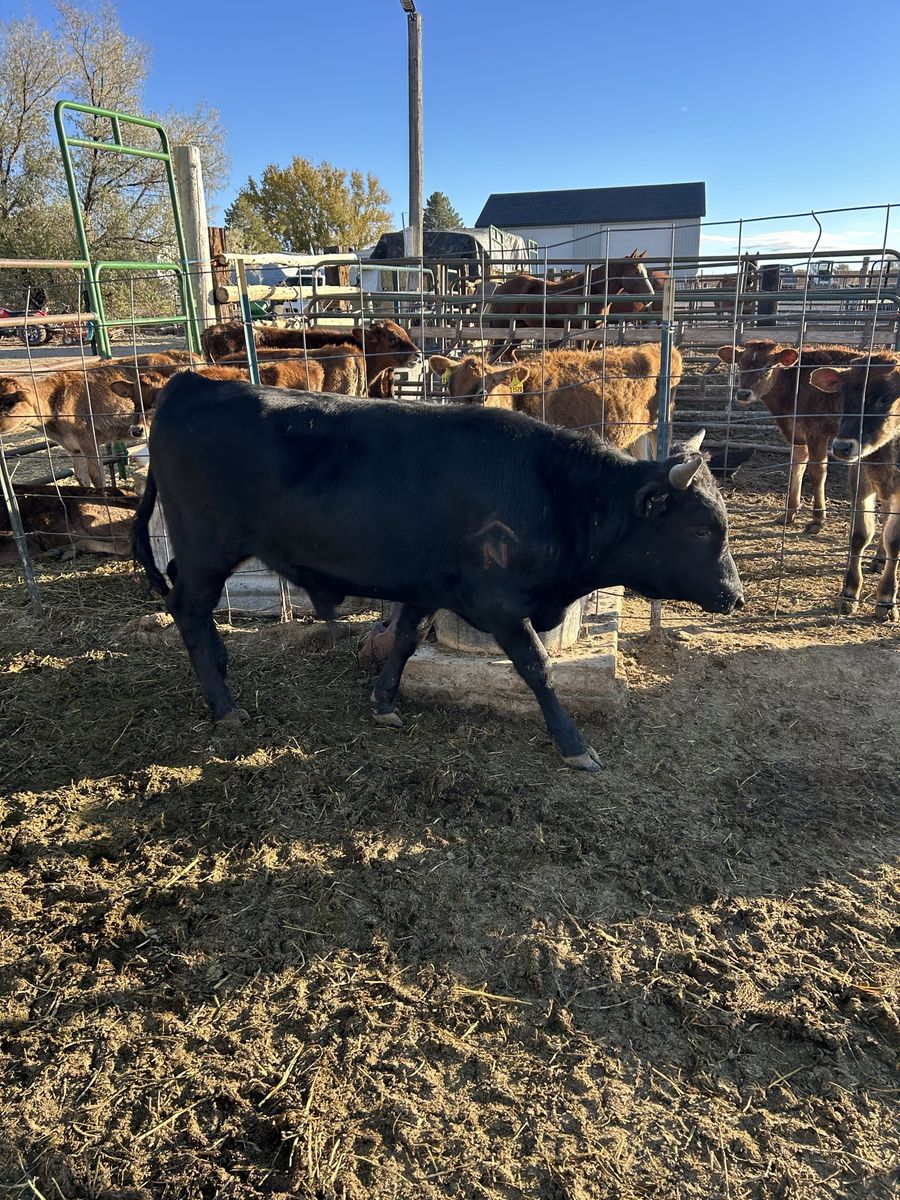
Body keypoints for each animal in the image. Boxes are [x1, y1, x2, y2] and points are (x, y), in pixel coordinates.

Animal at [132, 372, 743, 770]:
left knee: (195, 612)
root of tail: (188, 382)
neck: (551, 491)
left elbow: (404, 639)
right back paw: (223, 703)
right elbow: (537, 667)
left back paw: (222, 668)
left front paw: (383, 702)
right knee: (187, 610)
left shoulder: (427, 586)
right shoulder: (498, 603)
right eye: (699, 529)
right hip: (207, 547)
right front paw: (573, 744)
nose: (734, 596)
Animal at [717, 342, 862, 533]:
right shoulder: (797, 435)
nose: (743, 394)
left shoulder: (816, 433)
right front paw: (789, 513)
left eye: (768, 366)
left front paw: (817, 519)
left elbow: (817, 473)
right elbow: (796, 469)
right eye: (740, 364)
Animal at [810, 352, 900, 621]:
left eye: (885, 397)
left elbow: (895, 542)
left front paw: (886, 600)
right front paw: (849, 593)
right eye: (844, 394)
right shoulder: (859, 480)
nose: (841, 447)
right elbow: (860, 535)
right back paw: (879, 558)